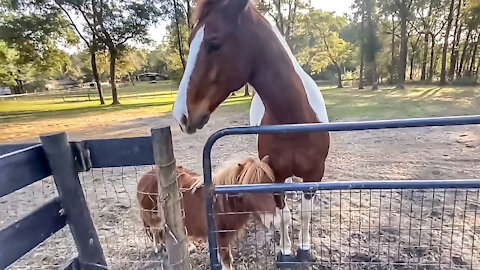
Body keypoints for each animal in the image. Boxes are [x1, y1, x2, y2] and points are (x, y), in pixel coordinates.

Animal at [137, 157, 276, 268]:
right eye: (250, 189)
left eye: (271, 184)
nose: (272, 219)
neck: (220, 201)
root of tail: (146, 177)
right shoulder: (220, 236)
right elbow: (226, 260)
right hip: (155, 217)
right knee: (154, 231)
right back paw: (157, 247)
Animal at [172, 0, 330, 264]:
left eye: (214, 44)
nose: (181, 115)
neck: (295, 121)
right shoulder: (275, 175)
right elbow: (284, 216)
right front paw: (285, 252)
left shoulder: (314, 175)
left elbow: (305, 214)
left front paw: (305, 250)